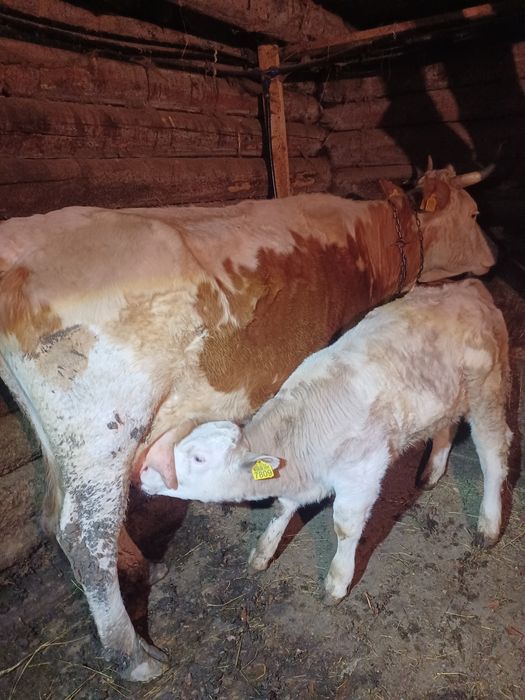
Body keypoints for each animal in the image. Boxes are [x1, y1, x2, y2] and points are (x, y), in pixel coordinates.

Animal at [142, 279, 512, 605]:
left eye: (199, 458)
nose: (144, 470)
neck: (300, 430)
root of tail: (467, 287)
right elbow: (282, 507)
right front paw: (262, 553)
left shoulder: (362, 472)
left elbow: (345, 526)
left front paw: (337, 581)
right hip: (446, 396)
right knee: (446, 427)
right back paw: (432, 471)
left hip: (487, 387)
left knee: (493, 453)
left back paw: (488, 524)